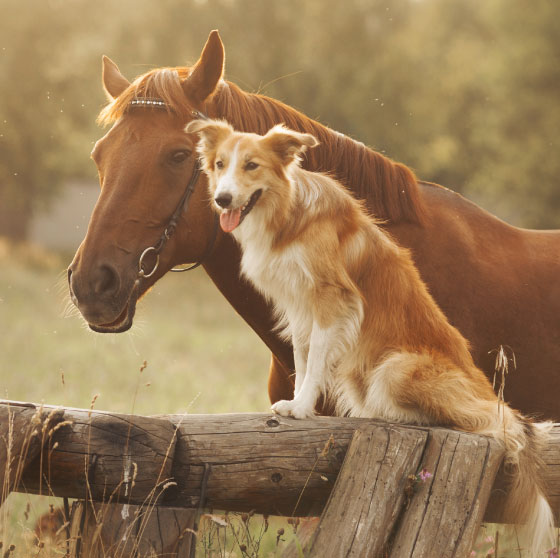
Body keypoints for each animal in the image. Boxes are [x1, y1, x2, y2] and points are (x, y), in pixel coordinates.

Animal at [185, 119, 556, 556]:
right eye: (219, 164)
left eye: (252, 165)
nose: (222, 199)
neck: (288, 214)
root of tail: (486, 390)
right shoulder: (299, 307)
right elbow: (302, 358)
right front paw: (297, 403)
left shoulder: (332, 300)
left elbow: (314, 361)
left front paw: (302, 408)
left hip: (396, 368)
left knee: (487, 420)